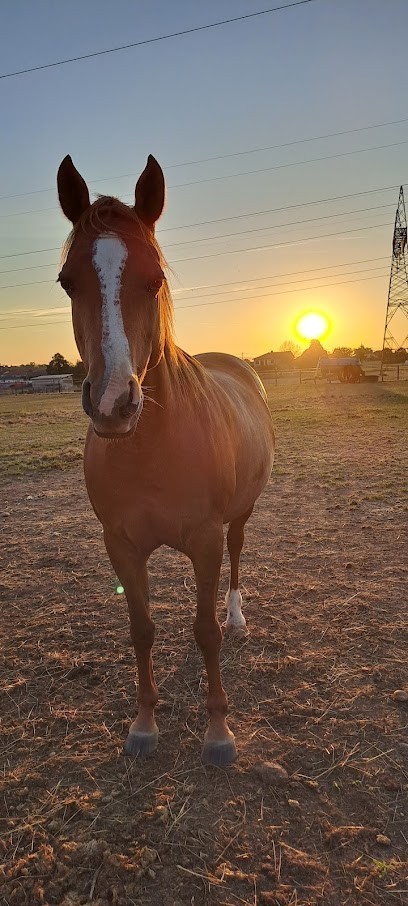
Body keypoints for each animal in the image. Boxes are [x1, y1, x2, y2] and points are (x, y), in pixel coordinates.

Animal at [57, 153, 275, 766]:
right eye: (67, 281)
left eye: (154, 278)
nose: (113, 402)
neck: (151, 450)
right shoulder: (122, 545)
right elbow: (142, 628)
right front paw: (145, 723)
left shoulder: (204, 539)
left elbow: (205, 631)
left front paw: (219, 732)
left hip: (239, 518)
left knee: (237, 560)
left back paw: (238, 616)